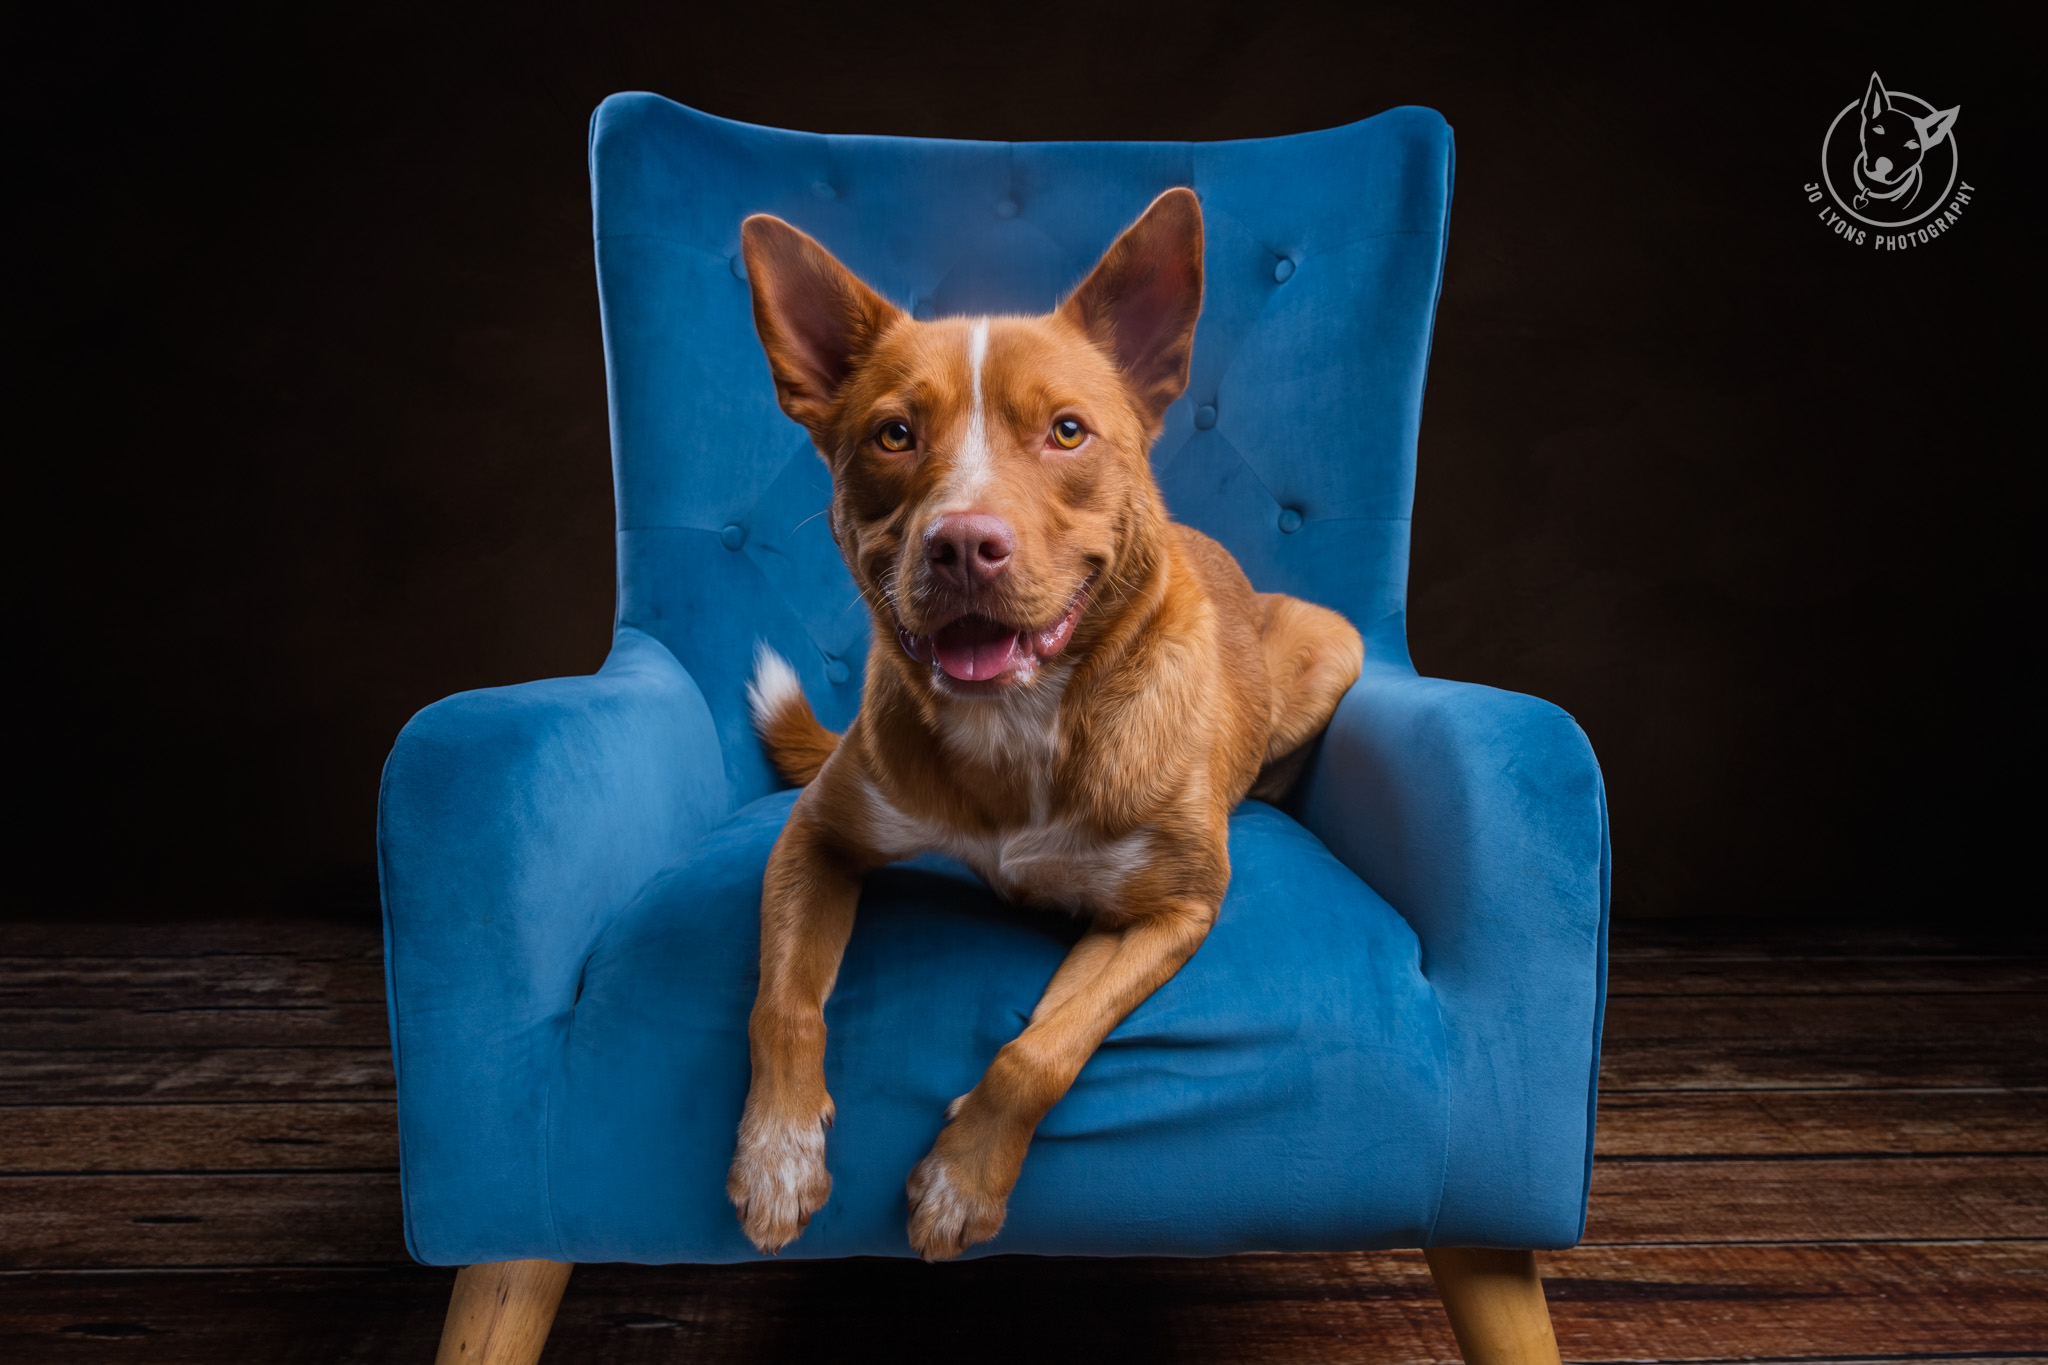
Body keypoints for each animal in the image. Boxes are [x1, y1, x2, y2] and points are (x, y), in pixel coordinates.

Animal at [720, 189, 1359, 1260]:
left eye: (1066, 431)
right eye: (894, 434)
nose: (964, 544)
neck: (1018, 722)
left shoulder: (1172, 911)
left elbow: (1042, 1052)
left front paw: (961, 1180)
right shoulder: (815, 835)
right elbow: (785, 1004)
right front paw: (777, 1152)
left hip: (1332, 642)